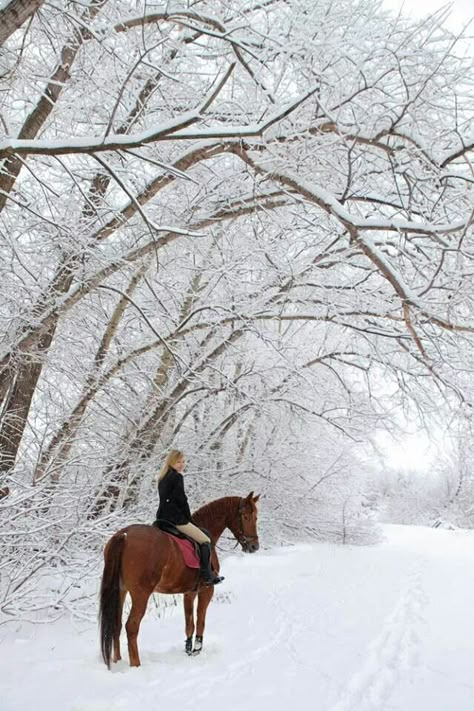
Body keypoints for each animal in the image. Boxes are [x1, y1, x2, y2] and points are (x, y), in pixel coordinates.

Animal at [99, 496, 260, 668]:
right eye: (247, 517)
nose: (254, 546)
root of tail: (124, 535)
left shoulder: (189, 592)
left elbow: (189, 623)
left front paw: (188, 649)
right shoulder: (206, 590)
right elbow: (200, 620)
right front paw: (197, 648)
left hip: (121, 591)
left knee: (116, 624)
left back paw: (117, 660)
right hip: (141, 594)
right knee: (132, 626)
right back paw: (136, 664)